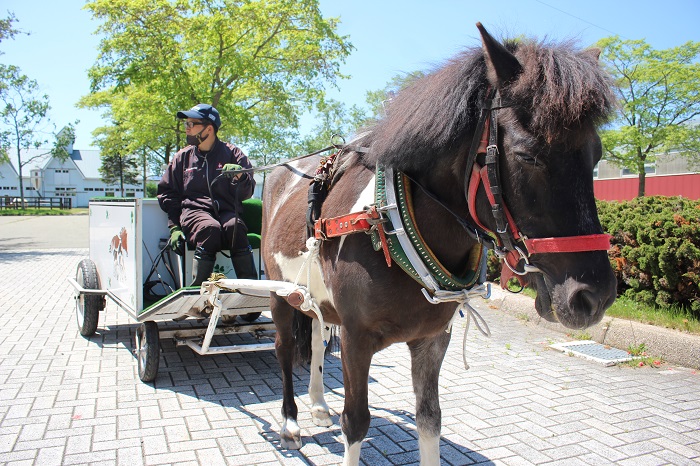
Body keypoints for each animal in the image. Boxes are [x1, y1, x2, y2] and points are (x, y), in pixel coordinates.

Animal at [261, 23, 617, 465]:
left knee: (312, 334)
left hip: (310, 295)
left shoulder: (432, 338)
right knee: (284, 347)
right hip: (276, 291)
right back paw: (290, 421)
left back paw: (317, 403)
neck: (391, 225)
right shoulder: (357, 338)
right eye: (528, 156)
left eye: (596, 156)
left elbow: (429, 420)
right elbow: (356, 421)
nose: (594, 295)